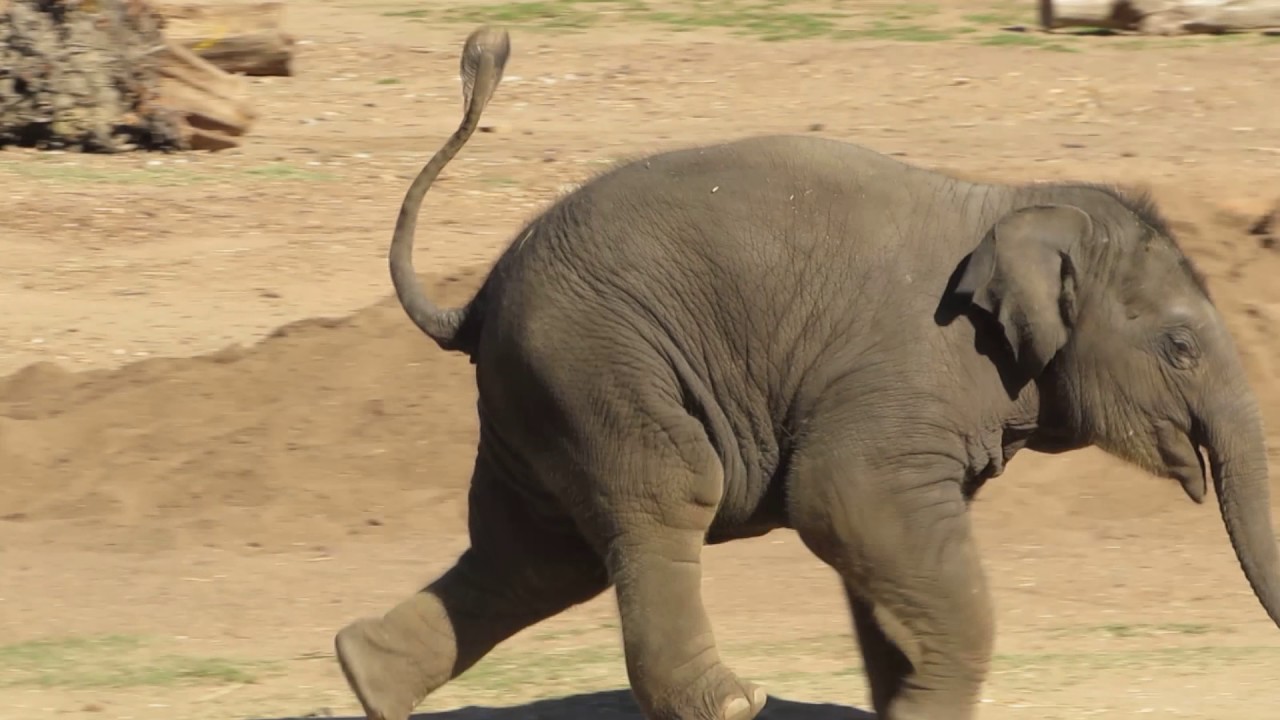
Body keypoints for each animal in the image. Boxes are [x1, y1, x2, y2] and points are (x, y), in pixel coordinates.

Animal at [334, 25, 1280, 720]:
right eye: (1182, 346)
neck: (1018, 199)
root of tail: (476, 298)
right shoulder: (906, 376)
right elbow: (842, 498)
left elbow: (885, 552)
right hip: (594, 361)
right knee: (664, 495)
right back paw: (731, 704)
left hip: (534, 391)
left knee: (532, 554)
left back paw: (366, 680)